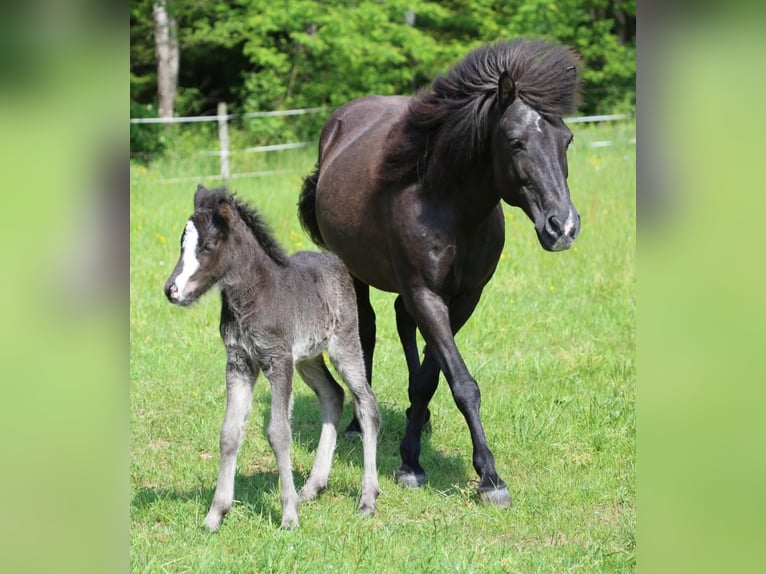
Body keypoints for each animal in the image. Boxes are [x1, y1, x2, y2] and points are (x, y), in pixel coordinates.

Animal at [163, 184, 381, 530]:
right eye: (181, 244)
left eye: (209, 246)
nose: (171, 290)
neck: (252, 297)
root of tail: (335, 261)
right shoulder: (239, 362)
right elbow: (229, 433)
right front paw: (215, 514)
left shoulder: (278, 362)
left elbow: (279, 433)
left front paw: (289, 516)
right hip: (307, 358)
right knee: (333, 395)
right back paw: (312, 487)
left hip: (344, 344)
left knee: (366, 403)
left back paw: (367, 499)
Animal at [298, 38, 582, 507]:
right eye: (516, 142)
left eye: (567, 139)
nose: (564, 228)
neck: (446, 203)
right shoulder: (426, 293)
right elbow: (462, 383)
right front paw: (487, 478)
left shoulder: (464, 298)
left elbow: (430, 378)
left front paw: (413, 454)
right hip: (354, 271)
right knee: (369, 330)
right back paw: (358, 422)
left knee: (400, 320)